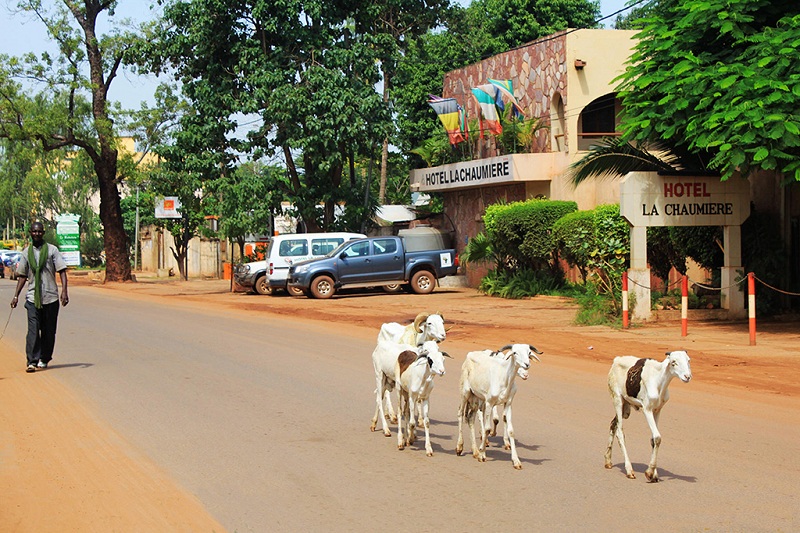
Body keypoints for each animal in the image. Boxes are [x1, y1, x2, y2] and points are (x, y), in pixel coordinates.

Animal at [608, 352, 692, 480]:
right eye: (673, 362)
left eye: (688, 360)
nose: (687, 376)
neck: (658, 380)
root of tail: (616, 360)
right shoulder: (647, 410)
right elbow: (657, 437)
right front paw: (650, 472)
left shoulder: (657, 410)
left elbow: (653, 439)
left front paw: (654, 474)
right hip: (617, 399)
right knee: (620, 432)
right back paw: (629, 470)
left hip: (625, 409)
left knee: (613, 424)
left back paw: (608, 461)